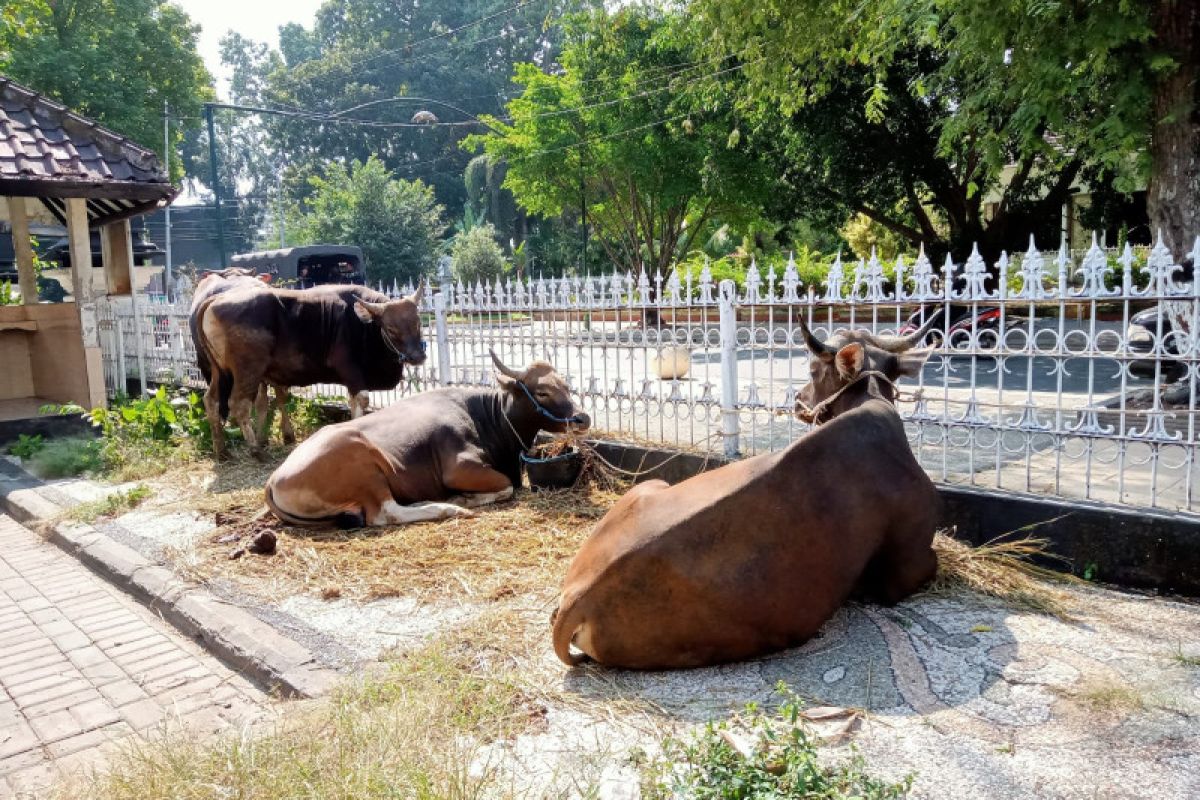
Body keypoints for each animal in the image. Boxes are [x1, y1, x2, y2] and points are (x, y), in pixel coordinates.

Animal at [268, 352, 595, 527]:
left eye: (566, 385)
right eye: (542, 391)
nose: (583, 418)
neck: (487, 417)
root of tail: (274, 478)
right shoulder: (459, 468)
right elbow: (506, 487)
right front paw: (462, 498)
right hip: (365, 468)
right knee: (385, 513)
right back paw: (447, 507)